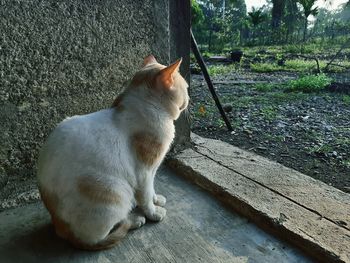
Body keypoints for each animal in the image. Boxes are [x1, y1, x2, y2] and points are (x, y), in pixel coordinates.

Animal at [36, 54, 189, 251]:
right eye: (186, 88)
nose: (190, 98)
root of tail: (62, 230)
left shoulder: (153, 171)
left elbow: (152, 190)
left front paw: (157, 200)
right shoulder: (144, 172)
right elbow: (146, 196)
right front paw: (153, 213)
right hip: (115, 191)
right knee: (103, 234)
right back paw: (135, 220)